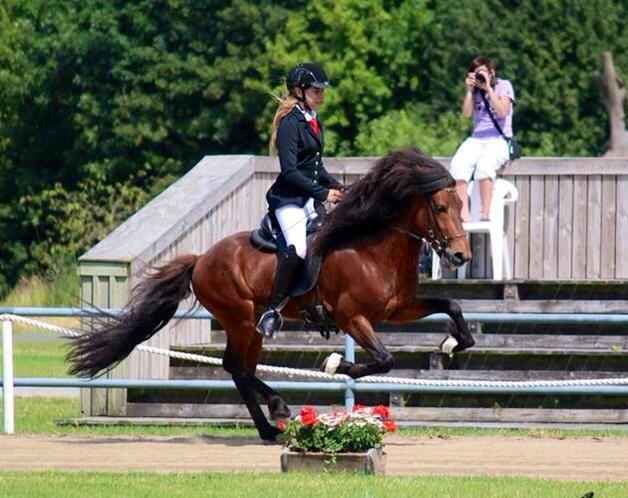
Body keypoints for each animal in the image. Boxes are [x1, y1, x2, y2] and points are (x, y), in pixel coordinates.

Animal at [67, 147, 472, 440]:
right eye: (439, 207)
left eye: (461, 206)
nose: (460, 256)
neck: (371, 248)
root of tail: (201, 259)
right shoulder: (352, 317)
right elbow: (384, 360)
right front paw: (337, 364)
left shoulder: (398, 309)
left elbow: (451, 304)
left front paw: (452, 343)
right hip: (240, 319)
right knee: (235, 366)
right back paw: (276, 410)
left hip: (254, 326)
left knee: (242, 370)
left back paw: (268, 427)